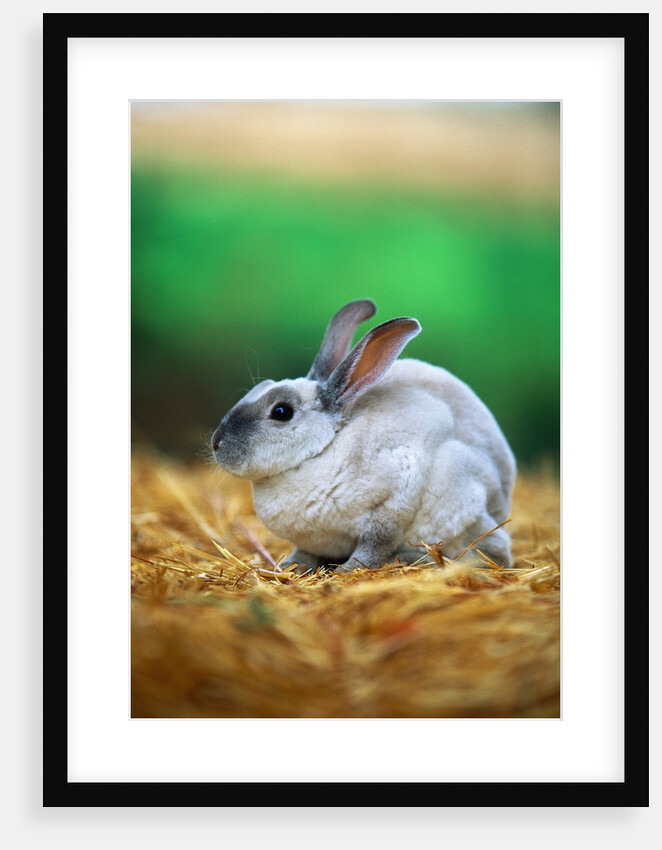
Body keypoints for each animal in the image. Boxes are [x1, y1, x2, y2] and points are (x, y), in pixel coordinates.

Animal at [211, 299, 516, 573]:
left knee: (491, 554)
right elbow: (306, 553)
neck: (322, 451)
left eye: (282, 411)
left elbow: (375, 544)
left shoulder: (397, 495)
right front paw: (289, 567)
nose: (217, 443)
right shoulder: (312, 541)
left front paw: (347, 571)